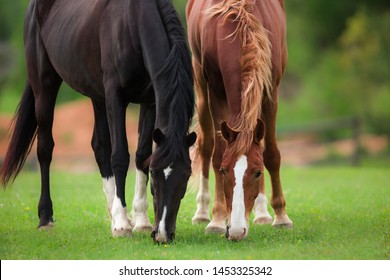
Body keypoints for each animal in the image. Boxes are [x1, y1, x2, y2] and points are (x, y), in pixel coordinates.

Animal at [0, 0, 195, 243]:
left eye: (186, 176)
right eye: (155, 174)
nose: (162, 234)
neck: (132, 23)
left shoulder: (149, 100)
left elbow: (141, 155)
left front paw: (140, 221)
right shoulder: (115, 95)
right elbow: (120, 156)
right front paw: (122, 226)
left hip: (97, 95)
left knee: (100, 147)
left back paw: (115, 214)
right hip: (44, 85)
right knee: (45, 149)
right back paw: (46, 219)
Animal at [187, 0, 292, 241]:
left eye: (257, 172)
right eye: (224, 171)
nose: (235, 231)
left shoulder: (271, 89)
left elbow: (271, 154)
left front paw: (281, 216)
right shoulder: (215, 91)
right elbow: (217, 153)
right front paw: (217, 219)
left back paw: (262, 213)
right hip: (200, 85)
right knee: (206, 145)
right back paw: (202, 211)